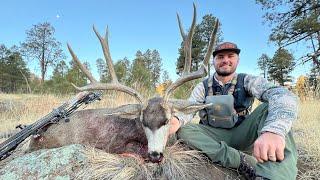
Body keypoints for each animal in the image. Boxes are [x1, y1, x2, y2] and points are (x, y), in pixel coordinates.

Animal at [14, 3, 220, 163]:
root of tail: (36, 137)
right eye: (142, 121)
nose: (155, 155)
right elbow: (131, 150)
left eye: (167, 120)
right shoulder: (114, 142)